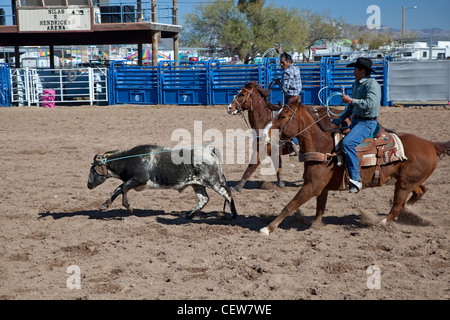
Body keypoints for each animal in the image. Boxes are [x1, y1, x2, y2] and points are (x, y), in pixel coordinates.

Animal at [86, 144, 237, 219]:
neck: (130, 160)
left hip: (213, 181)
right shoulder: (133, 181)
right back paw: (189, 215)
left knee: (227, 193)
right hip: (197, 184)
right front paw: (105, 205)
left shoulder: (138, 179)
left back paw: (233, 215)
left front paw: (128, 206)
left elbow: (122, 188)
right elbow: (118, 189)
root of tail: (209, 150)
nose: (88, 185)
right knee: (203, 199)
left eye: (93, 170)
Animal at [260, 96, 450, 234]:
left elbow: (290, 205)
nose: (263, 134)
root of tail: (431, 144)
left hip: (404, 184)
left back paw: (381, 223)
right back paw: (409, 214)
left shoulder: (312, 185)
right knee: (420, 191)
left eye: (283, 116)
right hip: (407, 180)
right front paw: (315, 225)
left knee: (398, 206)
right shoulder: (321, 187)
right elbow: (320, 208)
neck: (324, 147)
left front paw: (268, 228)